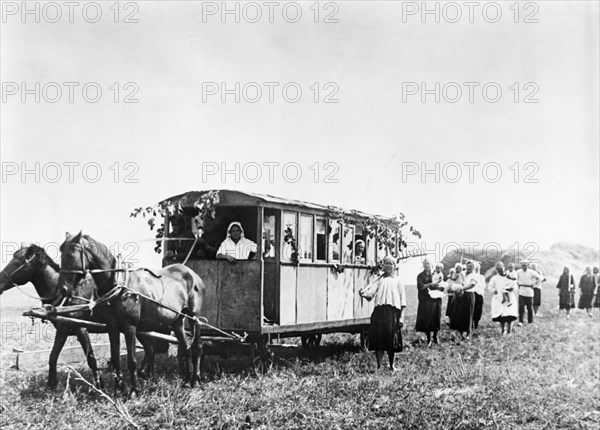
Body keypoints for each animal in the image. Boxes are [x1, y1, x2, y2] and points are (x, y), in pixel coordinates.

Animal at [0, 245, 104, 390]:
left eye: (17, 262)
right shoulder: (62, 328)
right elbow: (53, 356)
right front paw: (51, 384)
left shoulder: (81, 328)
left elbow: (91, 358)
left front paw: (100, 385)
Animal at [57, 233, 206, 394]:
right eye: (61, 253)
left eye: (70, 255)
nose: (63, 289)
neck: (120, 286)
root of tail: (191, 273)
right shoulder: (112, 326)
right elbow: (115, 358)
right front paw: (118, 389)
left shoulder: (130, 327)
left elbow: (132, 360)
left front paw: (134, 390)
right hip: (177, 321)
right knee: (186, 348)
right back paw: (187, 381)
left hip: (194, 317)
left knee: (197, 347)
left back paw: (196, 380)